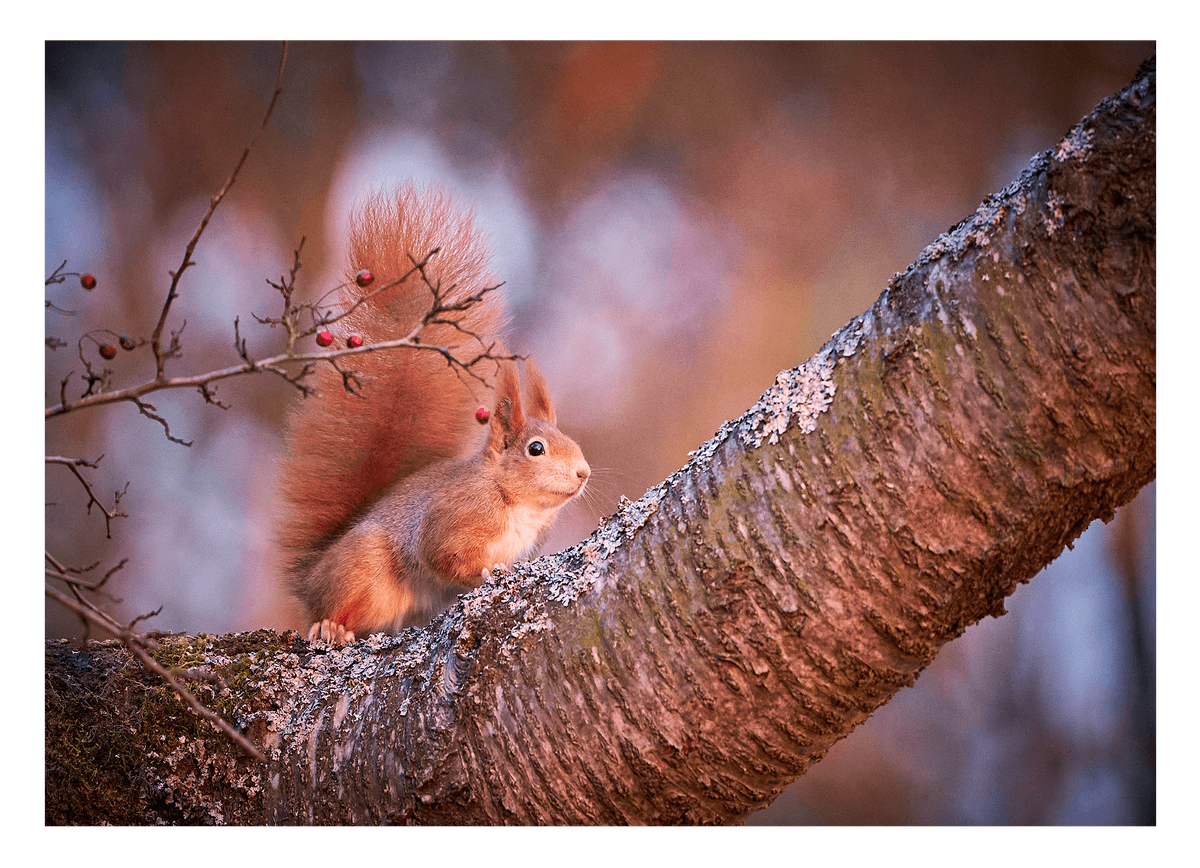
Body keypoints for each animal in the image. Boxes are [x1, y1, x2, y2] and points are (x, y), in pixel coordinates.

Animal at [275, 184, 591, 644]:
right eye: (536, 449)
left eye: (572, 442)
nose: (585, 473)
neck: (514, 502)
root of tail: (310, 578)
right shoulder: (455, 517)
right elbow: (442, 555)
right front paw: (487, 572)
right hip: (361, 567)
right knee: (334, 606)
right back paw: (329, 624)